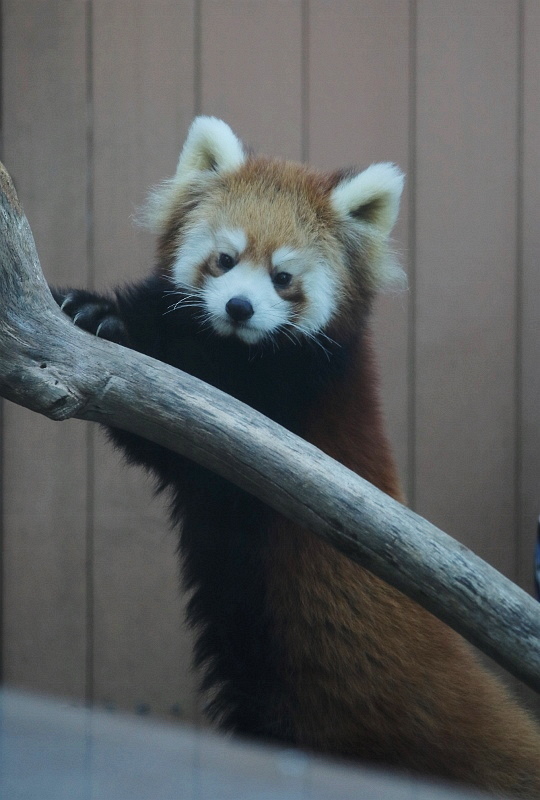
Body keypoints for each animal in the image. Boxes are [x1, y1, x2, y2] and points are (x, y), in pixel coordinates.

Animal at [52, 117, 540, 792]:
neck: (236, 347)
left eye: (283, 277)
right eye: (225, 259)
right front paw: (93, 309)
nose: (239, 307)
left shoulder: (290, 394)